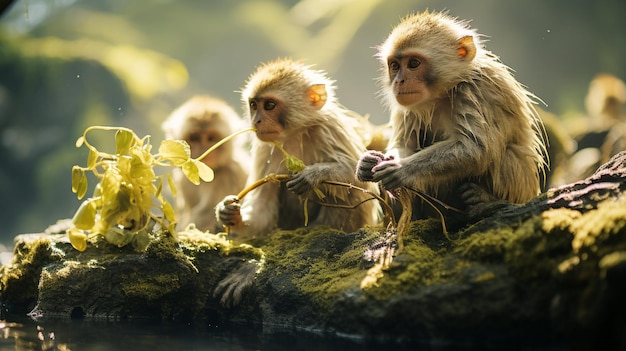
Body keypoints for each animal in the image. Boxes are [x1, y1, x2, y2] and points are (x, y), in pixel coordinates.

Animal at [214, 59, 380, 242]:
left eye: (269, 105)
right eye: (253, 105)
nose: (256, 121)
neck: (294, 134)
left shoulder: (329, 129)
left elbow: (359, 177)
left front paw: (313, 175)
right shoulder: (264, 148)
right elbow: (262, 207)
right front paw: (231, 215)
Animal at [356, 11, 544, 219]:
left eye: (413, 63)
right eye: (395, 66)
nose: (399, 81)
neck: (444, 93)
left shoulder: (477, 91)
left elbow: (476, 148)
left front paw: (402, 169)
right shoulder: (408, 107)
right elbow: (405, 143)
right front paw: (369, 162)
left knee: (508, 152)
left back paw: (488, 201)